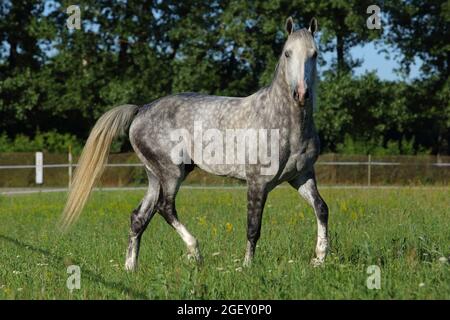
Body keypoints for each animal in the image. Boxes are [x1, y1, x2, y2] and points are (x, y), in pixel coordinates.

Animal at [59, 16, 328, 272]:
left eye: (314, 54)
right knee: (165, 207)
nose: (301, 94)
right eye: (287, 53)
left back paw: (130, 268)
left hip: (155, 176)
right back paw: (195, 253)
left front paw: (319, 259)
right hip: (171, 173)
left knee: (139, 217)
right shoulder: (257, 182)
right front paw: (247, 266)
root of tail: (141, 109)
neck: (283, 123)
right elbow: (253, 227)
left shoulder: (301, 176)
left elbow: (321, 208)